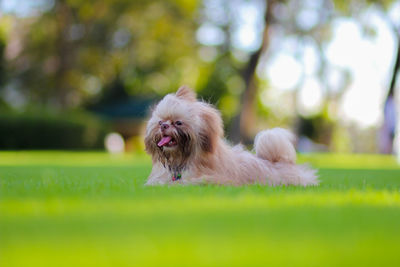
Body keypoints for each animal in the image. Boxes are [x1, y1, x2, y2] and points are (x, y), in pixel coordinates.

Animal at [145, 86, 318, 186]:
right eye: (160, 121)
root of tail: (279, 160)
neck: (183, 160)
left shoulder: (212, 178)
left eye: (179, 123)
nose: (164, 126)